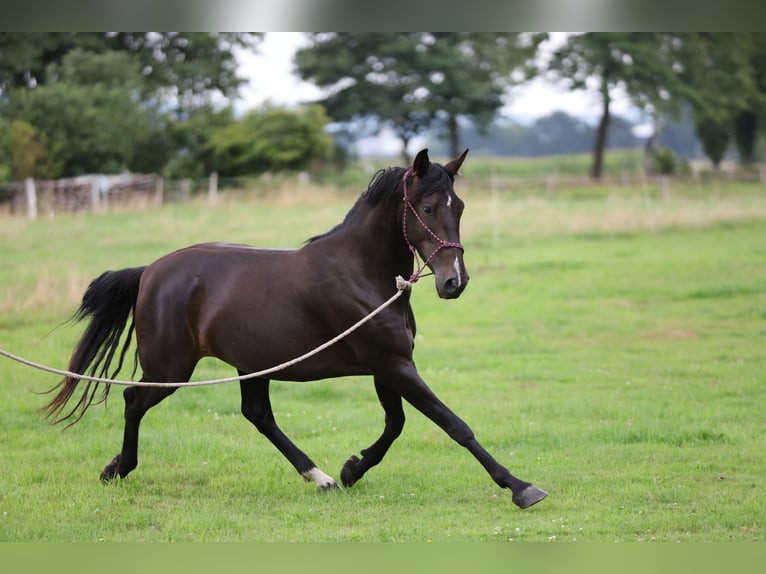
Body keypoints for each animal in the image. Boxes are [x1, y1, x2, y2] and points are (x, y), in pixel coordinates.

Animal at [41, 149, 547, 509]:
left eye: (458, 206)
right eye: (425, 207)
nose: (454, 282)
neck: (361, 273)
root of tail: (150, 272)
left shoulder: (388, 367)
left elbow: (396, 424)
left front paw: (351, 469)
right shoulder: (393, 364)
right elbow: (453, 424)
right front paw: (520, 486)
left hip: (251, 365)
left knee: (258, 416)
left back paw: (320, 478)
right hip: (171, 368)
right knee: (133, 400)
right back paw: (118, 468)